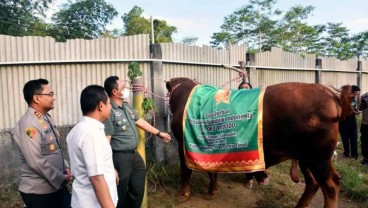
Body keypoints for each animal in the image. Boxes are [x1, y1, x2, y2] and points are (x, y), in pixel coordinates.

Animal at [167, 77, 344, 208]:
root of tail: (330, 94)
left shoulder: (182, 144)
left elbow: (186, 170)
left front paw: (183, 194)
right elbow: (212, 171)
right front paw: (212, 191)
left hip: (318, 158)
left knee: (331, 185)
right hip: (306, 157)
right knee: (313, 183)